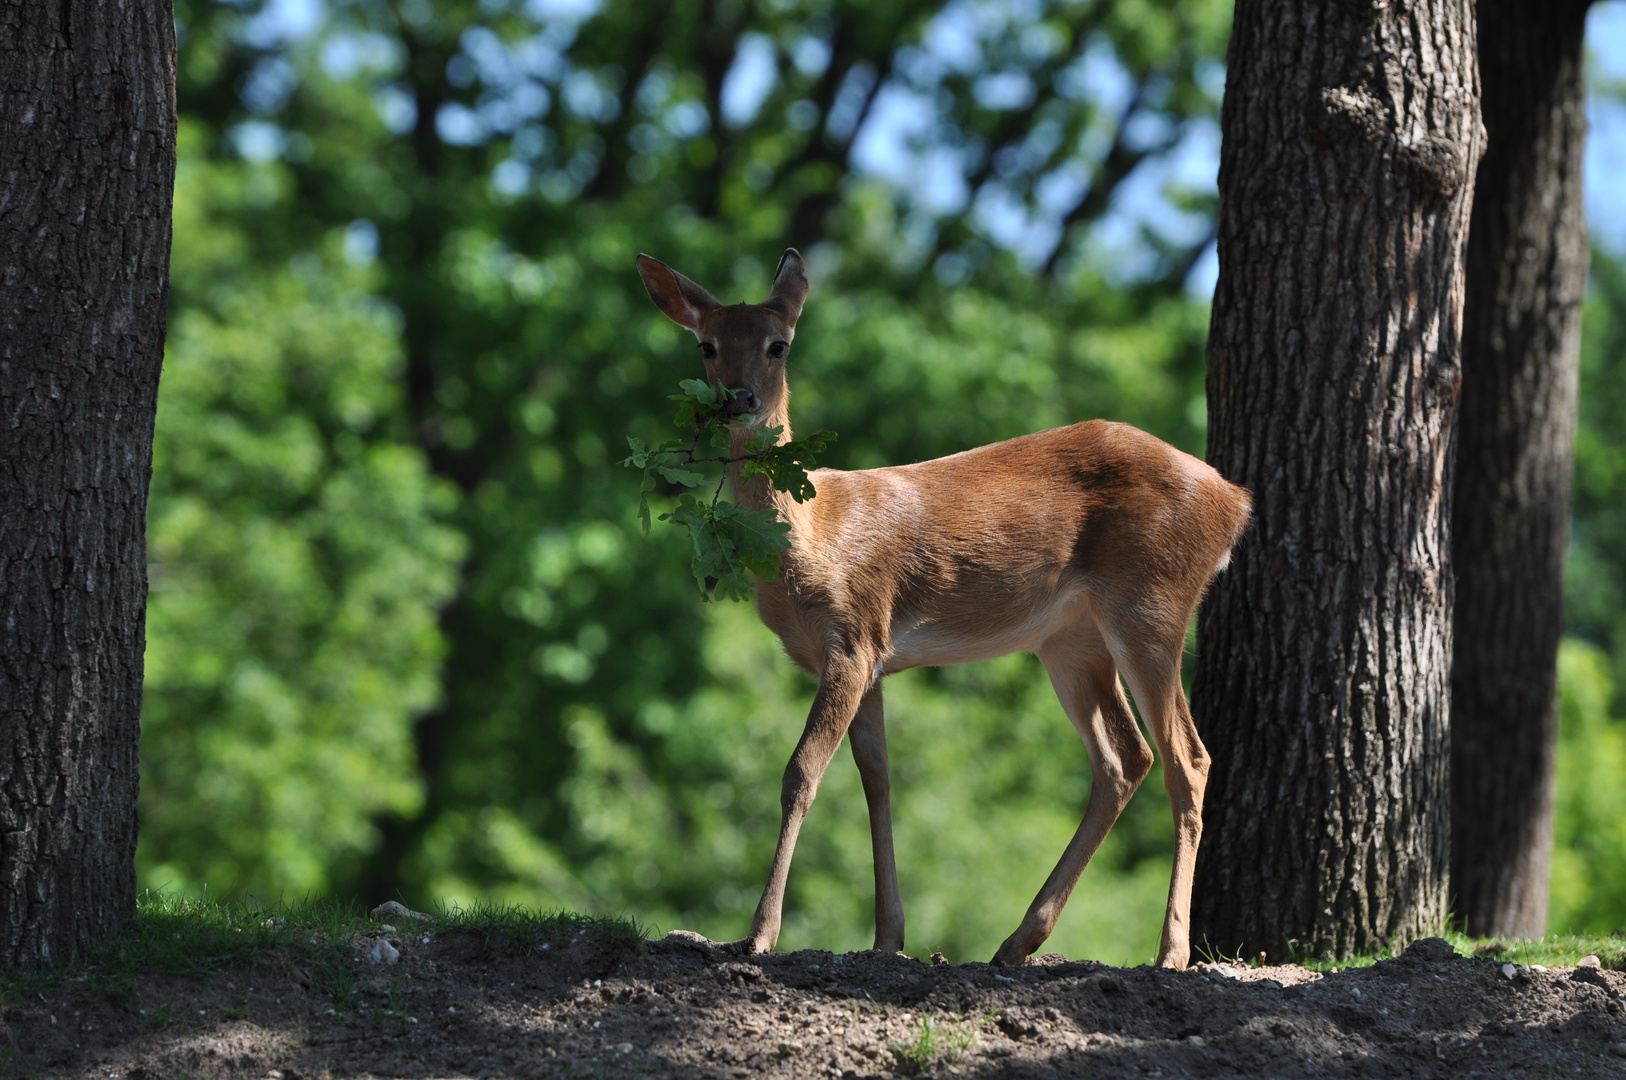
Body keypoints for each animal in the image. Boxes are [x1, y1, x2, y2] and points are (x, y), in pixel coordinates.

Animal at [630, 247, 1242, 969]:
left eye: (779, 345)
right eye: (707, 345)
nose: (739, 399)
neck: (814, 536)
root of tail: (1235, 501)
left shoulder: (854, 633)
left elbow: (801, 772)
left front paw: (758, 934)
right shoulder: (865, 657)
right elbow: (877, 780)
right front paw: (888, 937)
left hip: (1152, 603)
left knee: (1188, 759)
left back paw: (1169, 951)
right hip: (1071, 639)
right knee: (1124, 759)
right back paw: (1018, 941)